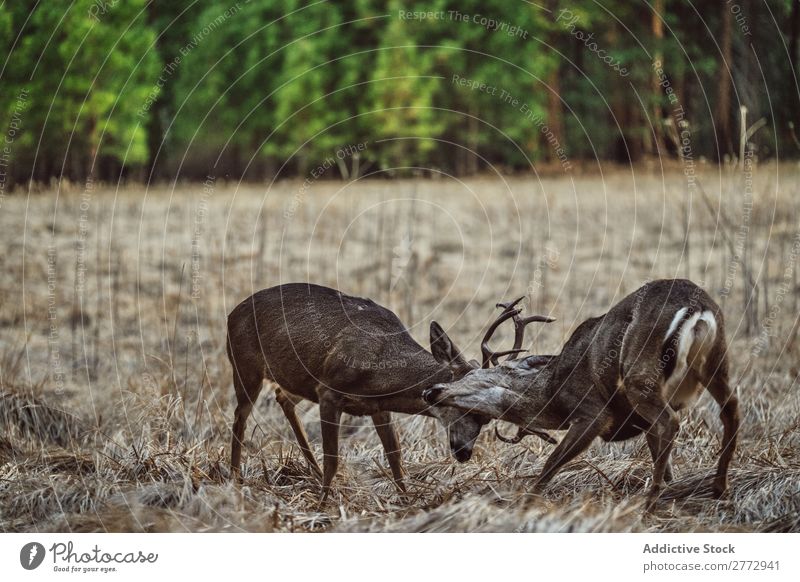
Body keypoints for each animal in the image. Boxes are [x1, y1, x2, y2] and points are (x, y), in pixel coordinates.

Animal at [225, 282, 552, 498]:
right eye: (461, 403)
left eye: (486, 417)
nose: (464, 453)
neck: (381, 370)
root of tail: (231, 314)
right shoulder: (329, 392)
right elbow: (333, 459)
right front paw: (323, 505)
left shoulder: (377, 407)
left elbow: (395, 456)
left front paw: (407, 502)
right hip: (245, 365)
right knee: (240, 417)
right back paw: (236, 479)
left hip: (293, 378)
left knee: (282, 397)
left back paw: (310, 472)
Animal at [422, 280, 740, 508]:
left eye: (472, 377)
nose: (430, 390)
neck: (554, 392)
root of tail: (696, 309)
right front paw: (670, 489)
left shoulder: (592, 412)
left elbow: (551, 464)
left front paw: (524, 503)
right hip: (717, 358)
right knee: (731, 409)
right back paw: (719, 488)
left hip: (640, 372)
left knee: (671, 421)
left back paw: (649, 505)